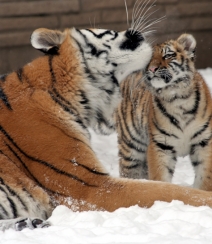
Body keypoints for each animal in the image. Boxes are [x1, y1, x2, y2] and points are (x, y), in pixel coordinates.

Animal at [117, 33, 212, 191]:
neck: (177, 99)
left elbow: (205, 179)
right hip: (131, 146)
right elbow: (160, 178)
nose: (152, 69)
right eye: (149, 60)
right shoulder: (160, 145)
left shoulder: (204, 142)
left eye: (168, 55)